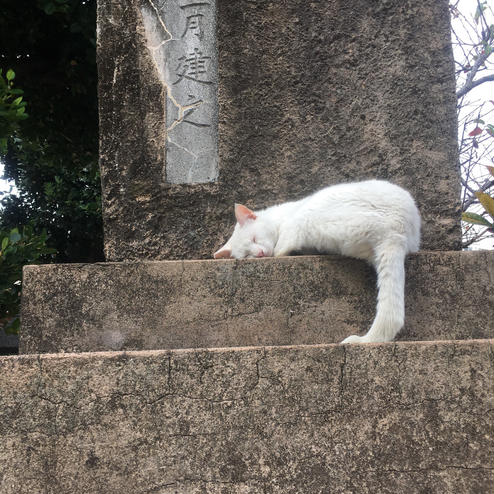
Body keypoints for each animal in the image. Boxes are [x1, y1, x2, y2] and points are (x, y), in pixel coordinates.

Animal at [212, 179, 420, 346]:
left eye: (254, 239)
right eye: (247, 255)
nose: (261, 254)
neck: (279, 216)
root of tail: (396, 231)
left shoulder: (289, 225)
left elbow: (282, 244)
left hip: (312, 218)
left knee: (287, 244)